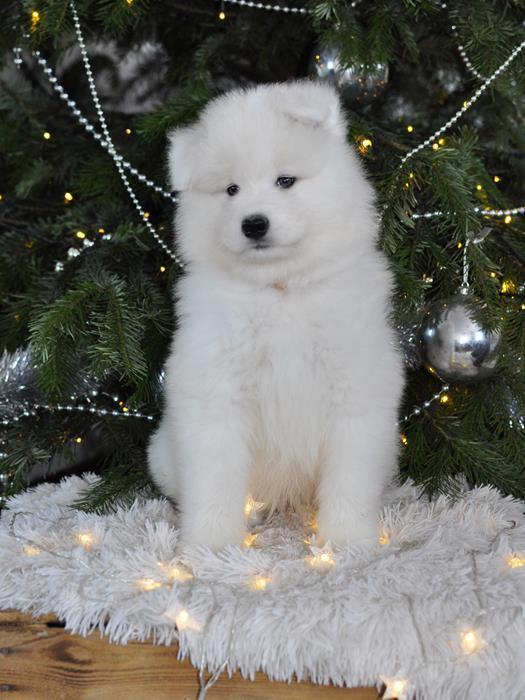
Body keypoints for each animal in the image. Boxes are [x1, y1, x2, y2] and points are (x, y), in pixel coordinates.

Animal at [147, 80, 406, 552]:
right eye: (231, 190)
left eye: (285, 181)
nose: (253, 224)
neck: (280, 290)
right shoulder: (216, 394)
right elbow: (214, 480)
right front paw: (210, 547)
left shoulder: (355, 393)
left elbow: (349, 481)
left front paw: (347, 542)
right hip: (161, 452)